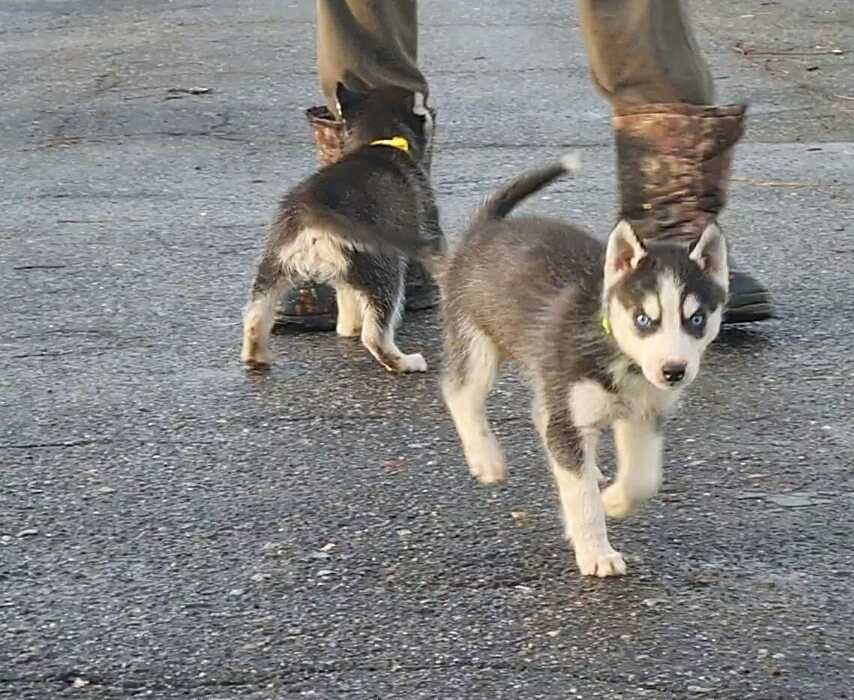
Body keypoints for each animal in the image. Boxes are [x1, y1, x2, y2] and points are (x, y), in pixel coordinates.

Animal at [239, 84, 442, 372]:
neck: (377, 140)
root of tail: (314, 221)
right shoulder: (430, 228)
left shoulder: (344, 279)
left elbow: (348, 302)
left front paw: (348, 328)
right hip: (385, 268)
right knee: (376, 334)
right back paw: (404, 362)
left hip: (274, 267)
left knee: (254, 316)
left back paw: (256, 357)